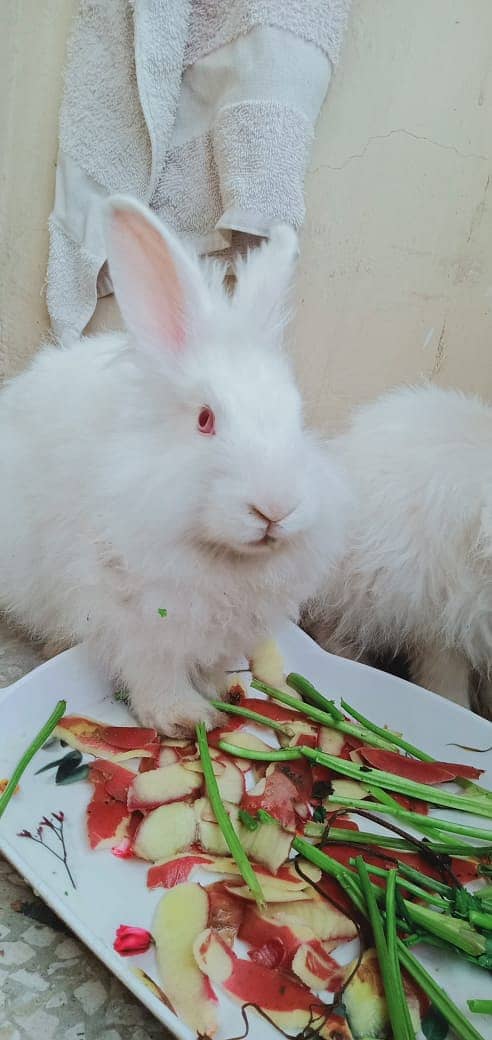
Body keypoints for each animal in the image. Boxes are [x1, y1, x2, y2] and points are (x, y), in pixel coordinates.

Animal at [0, 195, 353, 732]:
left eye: (297, 414)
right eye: (205, 420)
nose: (275, 509)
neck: (221, 557)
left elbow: (210, 662)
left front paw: (220, 690)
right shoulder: (135, 612)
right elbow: (153, 668)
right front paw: (185, 717)